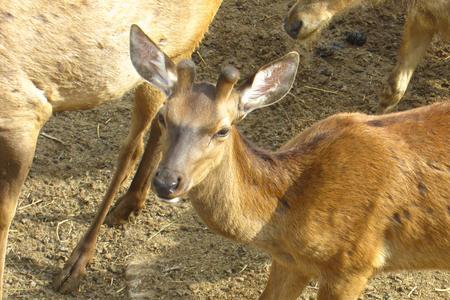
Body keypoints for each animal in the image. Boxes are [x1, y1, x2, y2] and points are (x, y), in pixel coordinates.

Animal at [0, 0, 222, 296]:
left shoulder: (23, 113)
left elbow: (3, 216)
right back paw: (129, 203)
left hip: (173, 49)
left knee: (132, 148)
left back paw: (77, 263)